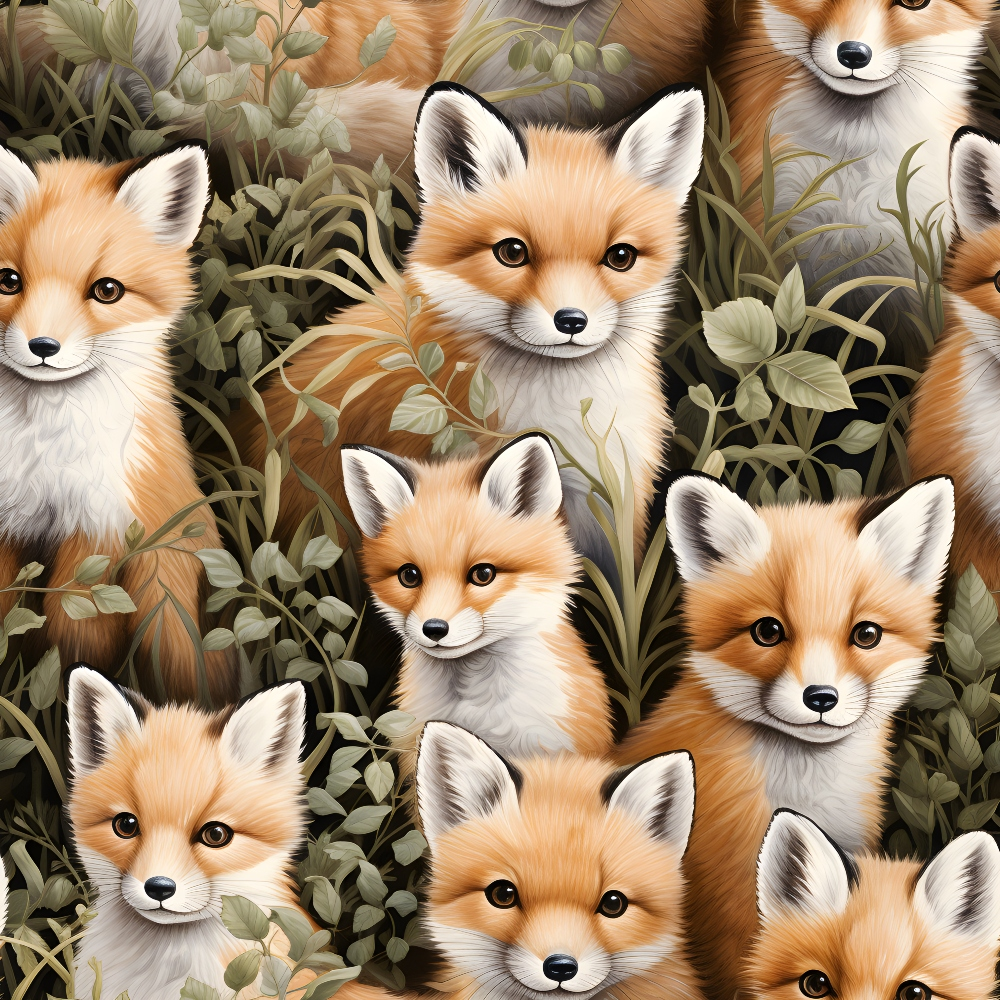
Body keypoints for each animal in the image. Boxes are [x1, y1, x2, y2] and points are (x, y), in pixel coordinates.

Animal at [0, 142, 238, 705]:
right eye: (8, 281)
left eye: (107, 290)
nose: (43, 346)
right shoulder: (7, 523)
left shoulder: (102, 530)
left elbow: (75, 636)